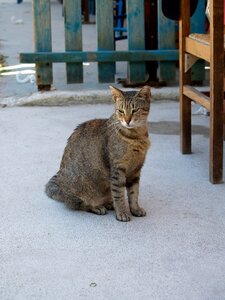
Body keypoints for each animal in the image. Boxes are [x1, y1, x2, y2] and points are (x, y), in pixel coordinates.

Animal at [45, 85, 151, 221]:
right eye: (121, 111)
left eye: (134, 110)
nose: (127, 121)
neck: (136, 137)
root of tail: (62, 191)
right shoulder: (117, 170)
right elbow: (119, 195)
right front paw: (122, 212)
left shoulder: (136, 170)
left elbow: (134, 193)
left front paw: (135, 209)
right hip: (80, 190)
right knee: (81, 205)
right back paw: (97, 207)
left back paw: (109, 204)